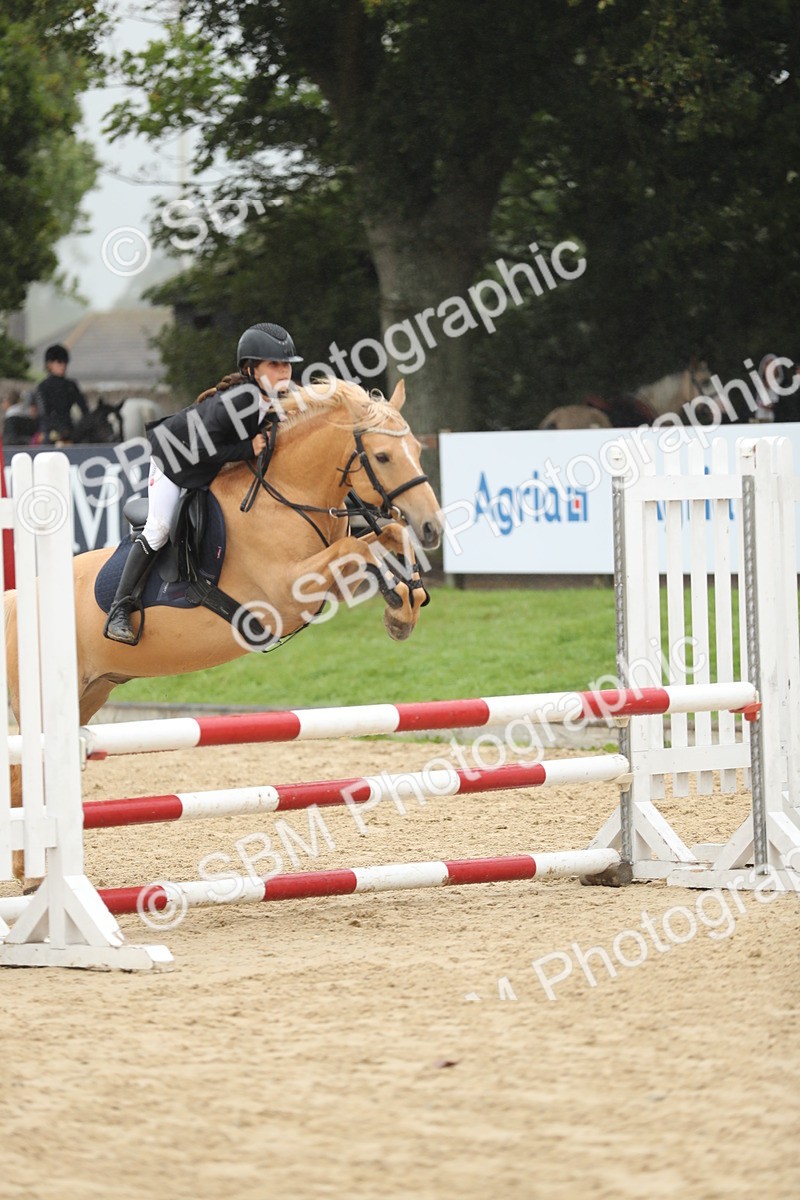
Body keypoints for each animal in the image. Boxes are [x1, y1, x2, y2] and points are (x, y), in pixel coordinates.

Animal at [5, 377, 443, 887]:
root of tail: (17, 600)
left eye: (416, 448)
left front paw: (404, 606)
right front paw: (399, 599)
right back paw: (32, 874)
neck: (286, 494)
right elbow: (359, 548)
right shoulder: (286, 591)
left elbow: (385, 537)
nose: (432, 526)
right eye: (384, 456)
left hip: (91, 692)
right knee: (25, 771)